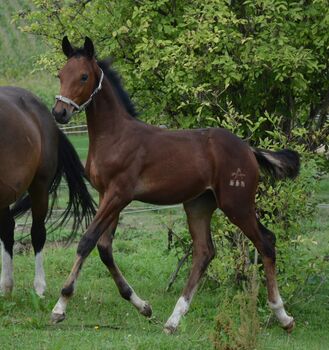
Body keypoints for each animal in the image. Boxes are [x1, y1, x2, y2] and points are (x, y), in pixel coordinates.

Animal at [50, 36, 298, 334]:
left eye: (84, 76)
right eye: (60, 75)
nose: (59, 113)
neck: (115, 136)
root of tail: (249, 149)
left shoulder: (118, 194)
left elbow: (87, 241)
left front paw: (60, 305)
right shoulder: (106, 195)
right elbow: (105, 248)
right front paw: (143, 306)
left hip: (236, 204)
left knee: (266, 242)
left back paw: (282, 316)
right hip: (199, 205)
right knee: (204, 252)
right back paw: (173, 319)